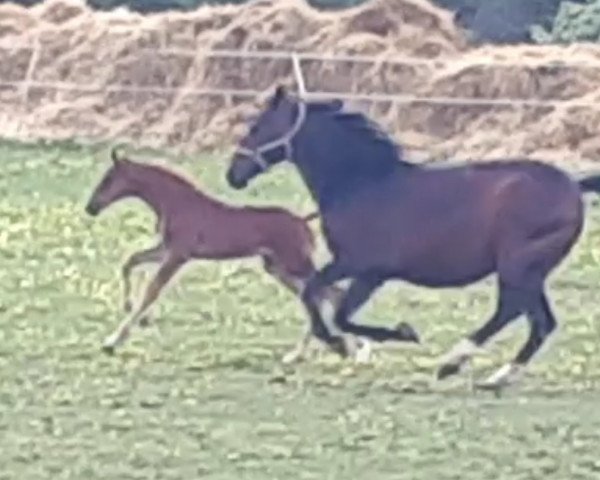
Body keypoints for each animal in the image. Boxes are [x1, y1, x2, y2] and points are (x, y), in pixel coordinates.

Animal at [84, 148, 418, 362]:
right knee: (324, 293)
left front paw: (113, 341)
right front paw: (129, 312)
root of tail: (302, 221)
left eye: (108, 180)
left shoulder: (178, 254)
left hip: (293, 263)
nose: (91, 207)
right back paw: (327, 350)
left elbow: (151, 291)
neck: (175, 201)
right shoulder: (166, 249)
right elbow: (129, 262)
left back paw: (349, 348)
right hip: (277, 267)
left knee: (326, 292)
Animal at [226, 85, 600, 390]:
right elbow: (315, 296)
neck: (361, 184)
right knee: (536, 321)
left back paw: (455, 363)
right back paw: (490, 375)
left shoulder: (366, 269)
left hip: (519, 266)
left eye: (256, 126)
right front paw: (340, 345)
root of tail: (573, 185)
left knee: (519, 314)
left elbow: (335, 310)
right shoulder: (351, 267)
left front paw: (397, 334)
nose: (233, 175)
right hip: (528, 271)